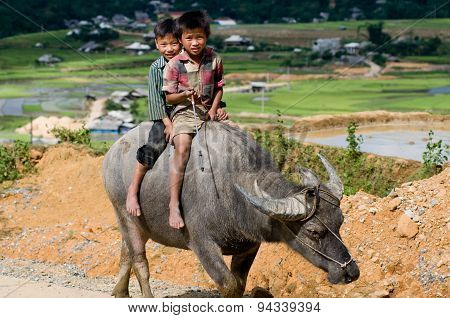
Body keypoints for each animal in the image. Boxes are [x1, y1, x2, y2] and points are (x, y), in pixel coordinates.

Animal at [102, 120, 358, 296]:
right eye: (313, 231)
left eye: (340, 221)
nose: (351, 272)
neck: (232, 193)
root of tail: (112, 152)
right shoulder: (202, 244)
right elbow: (229, 284)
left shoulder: (249, 246)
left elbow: (240, 284)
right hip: (124, 214)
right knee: (140, 261)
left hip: (138, 223)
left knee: (126, 253)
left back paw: (120, 292)